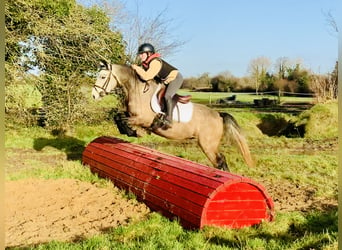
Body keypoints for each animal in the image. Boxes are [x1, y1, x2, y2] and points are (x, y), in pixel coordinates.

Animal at [91, 61, 254, 171]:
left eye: (103, 76)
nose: (93, 96)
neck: (138, 90)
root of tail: (218, 115)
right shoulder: (131, 114)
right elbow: (118, 116)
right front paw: (130, 131)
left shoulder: (143, 119)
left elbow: (122, 118)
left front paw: (134, 132)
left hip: (208, 144)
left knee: (220, 161)